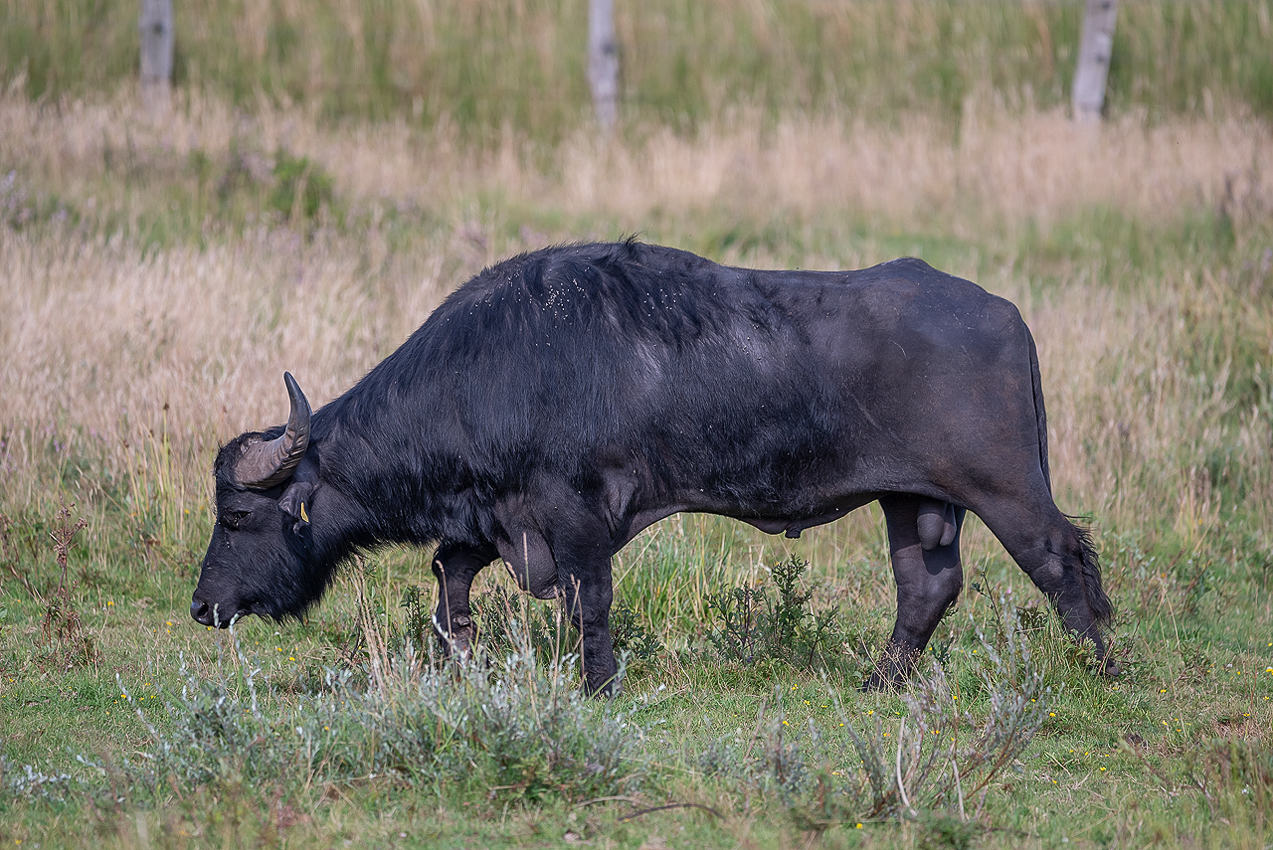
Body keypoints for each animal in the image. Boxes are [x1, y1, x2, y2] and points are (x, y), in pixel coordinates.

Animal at [190, 239, 1115, 692]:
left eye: (236, 516)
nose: (202, 606)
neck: (494, 366)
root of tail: (1002, 312)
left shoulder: (572, 517)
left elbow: (589, 601)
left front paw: (596, 683)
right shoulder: (494, 519)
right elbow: (450, 576)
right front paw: (460, 658)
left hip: (1003, 489)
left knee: (1061, 561)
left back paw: (1101, 670)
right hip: (911, 501)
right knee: (926, 585)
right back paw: (879, 683)